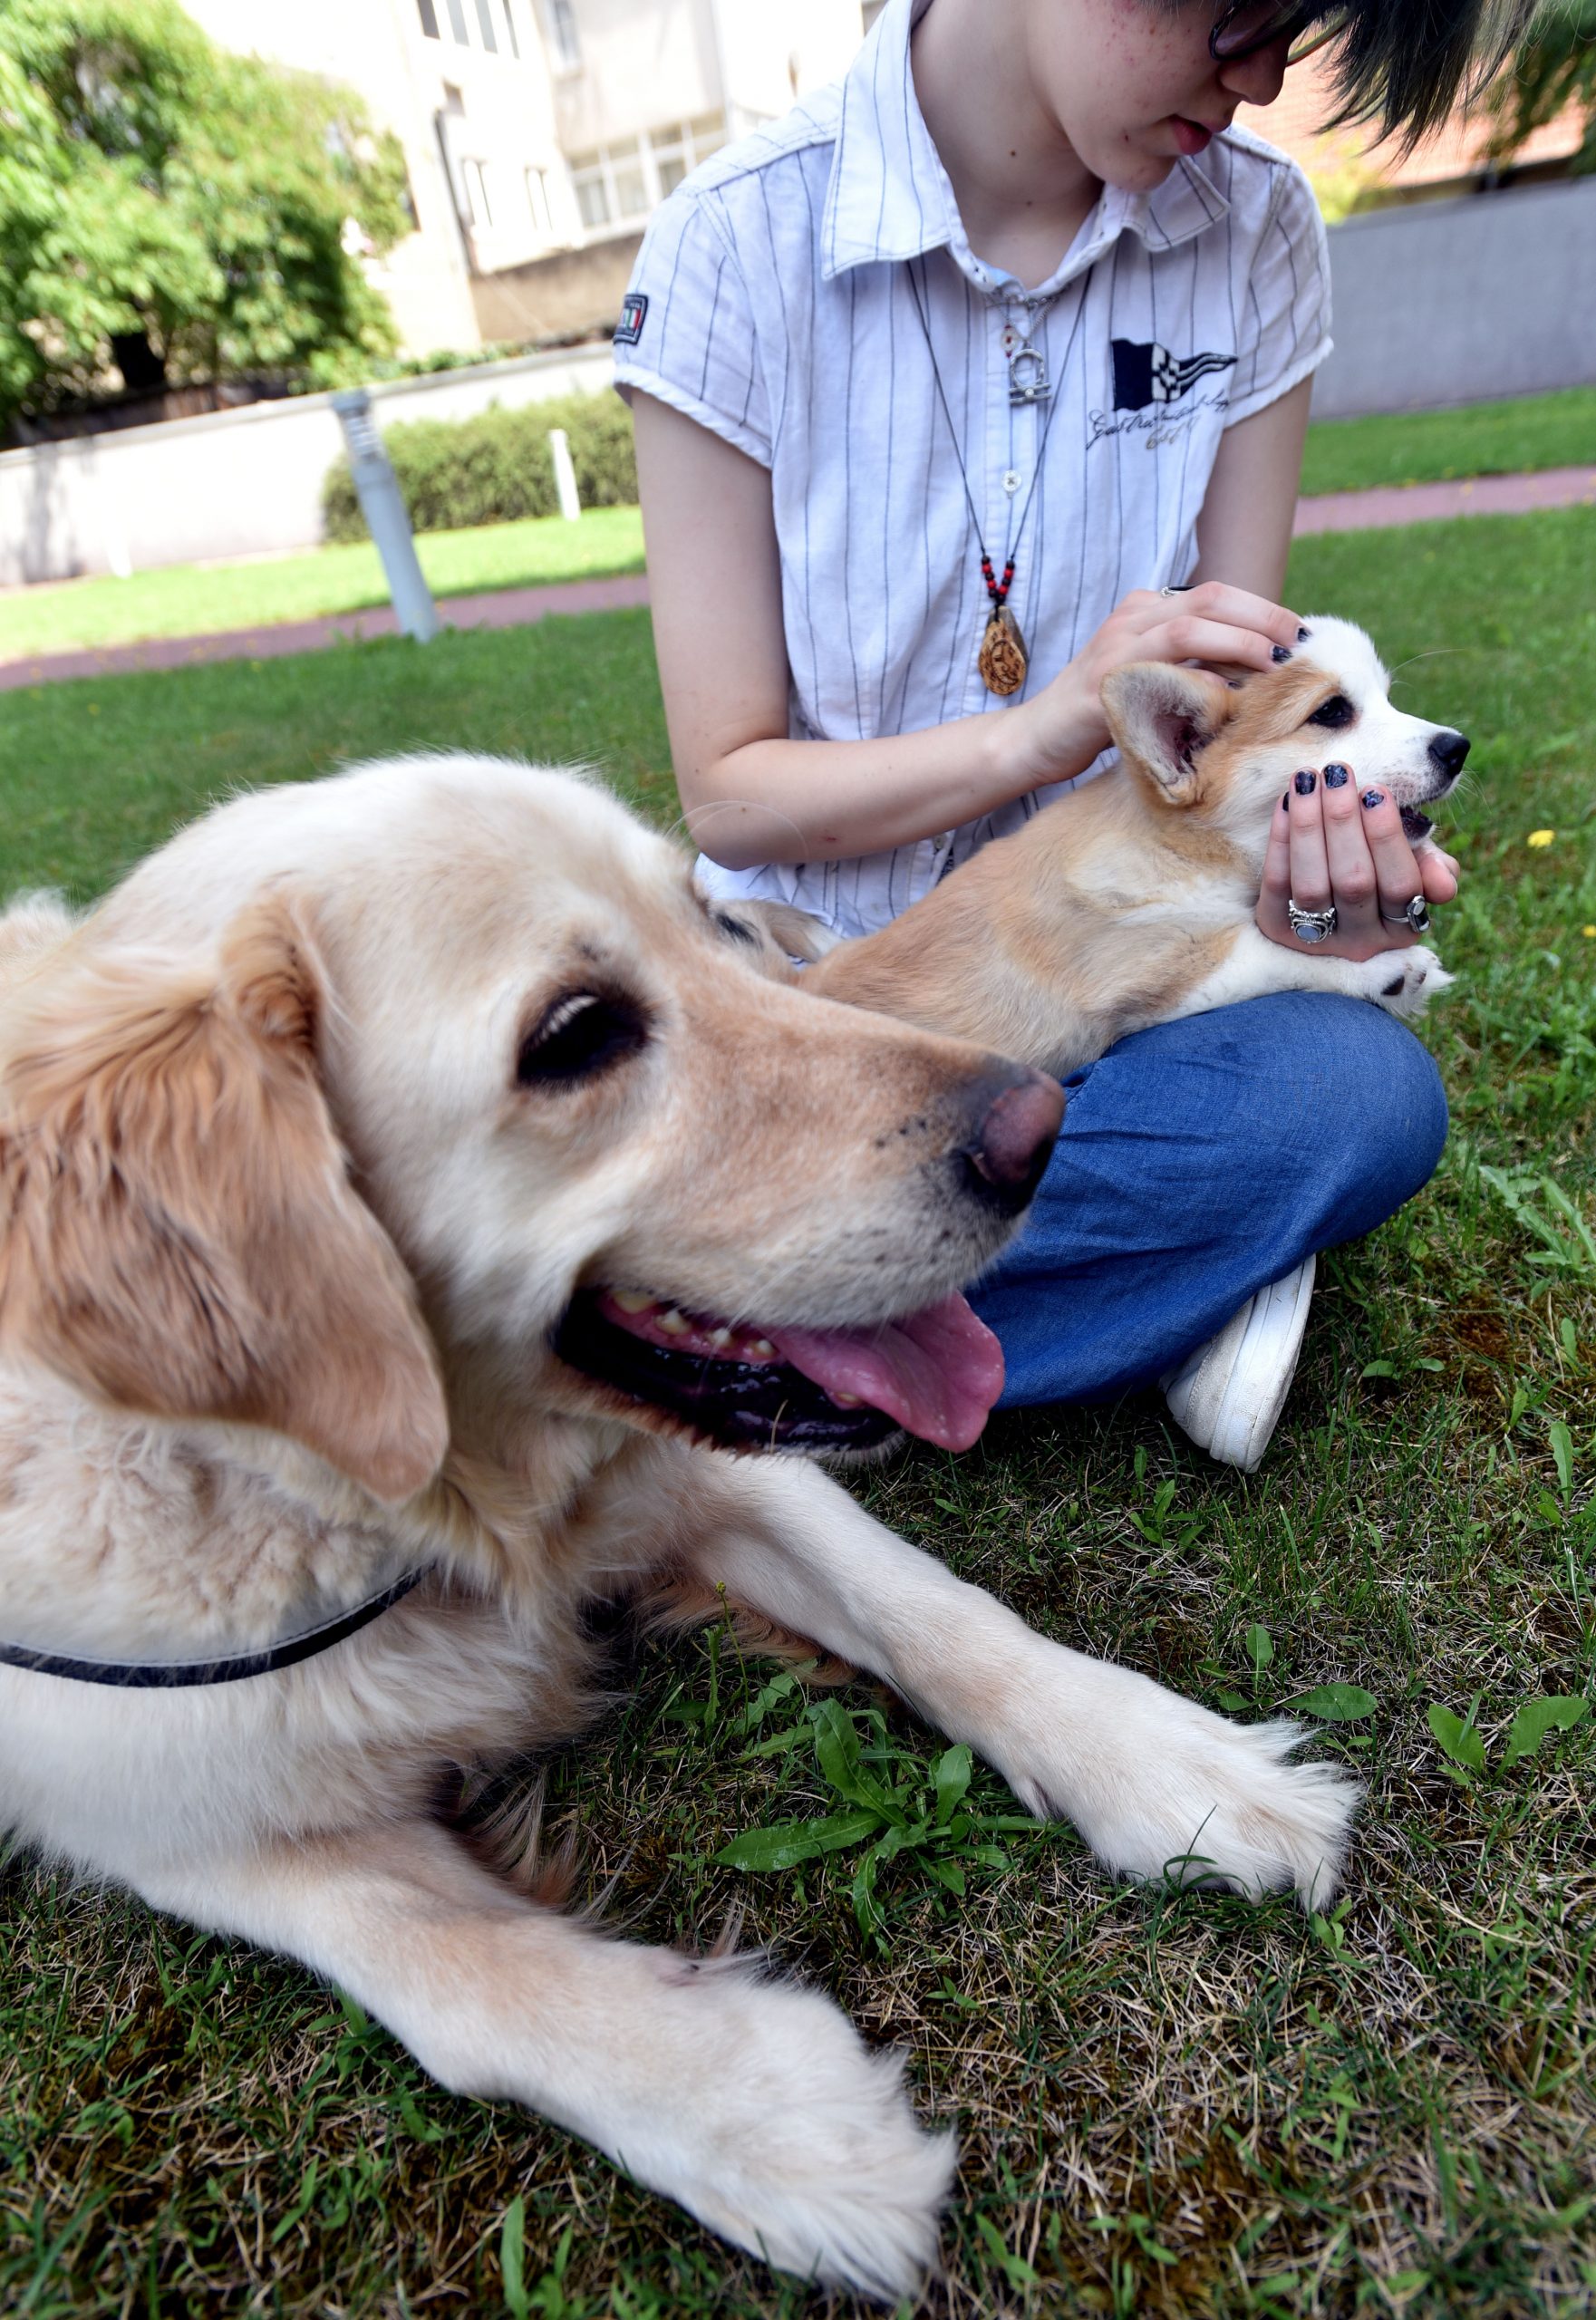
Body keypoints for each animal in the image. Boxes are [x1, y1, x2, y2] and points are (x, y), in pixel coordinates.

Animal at [0, 765, 1354, 2301]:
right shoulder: (171, 1816)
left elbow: (935, 1611)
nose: (1040, 1128)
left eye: (714, 922)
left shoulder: (719, 1477)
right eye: (575, 1034)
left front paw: (1182, 1768)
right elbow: (457, 1968)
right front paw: (782, 2120)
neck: (450, 1525)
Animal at [802, 622, 1465, 1080]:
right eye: (1330, 712)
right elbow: (1279, 954)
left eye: (1384, 699)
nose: (1457, 747)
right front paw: (1385, 971)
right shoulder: (1152, 969)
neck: (1183, 851)